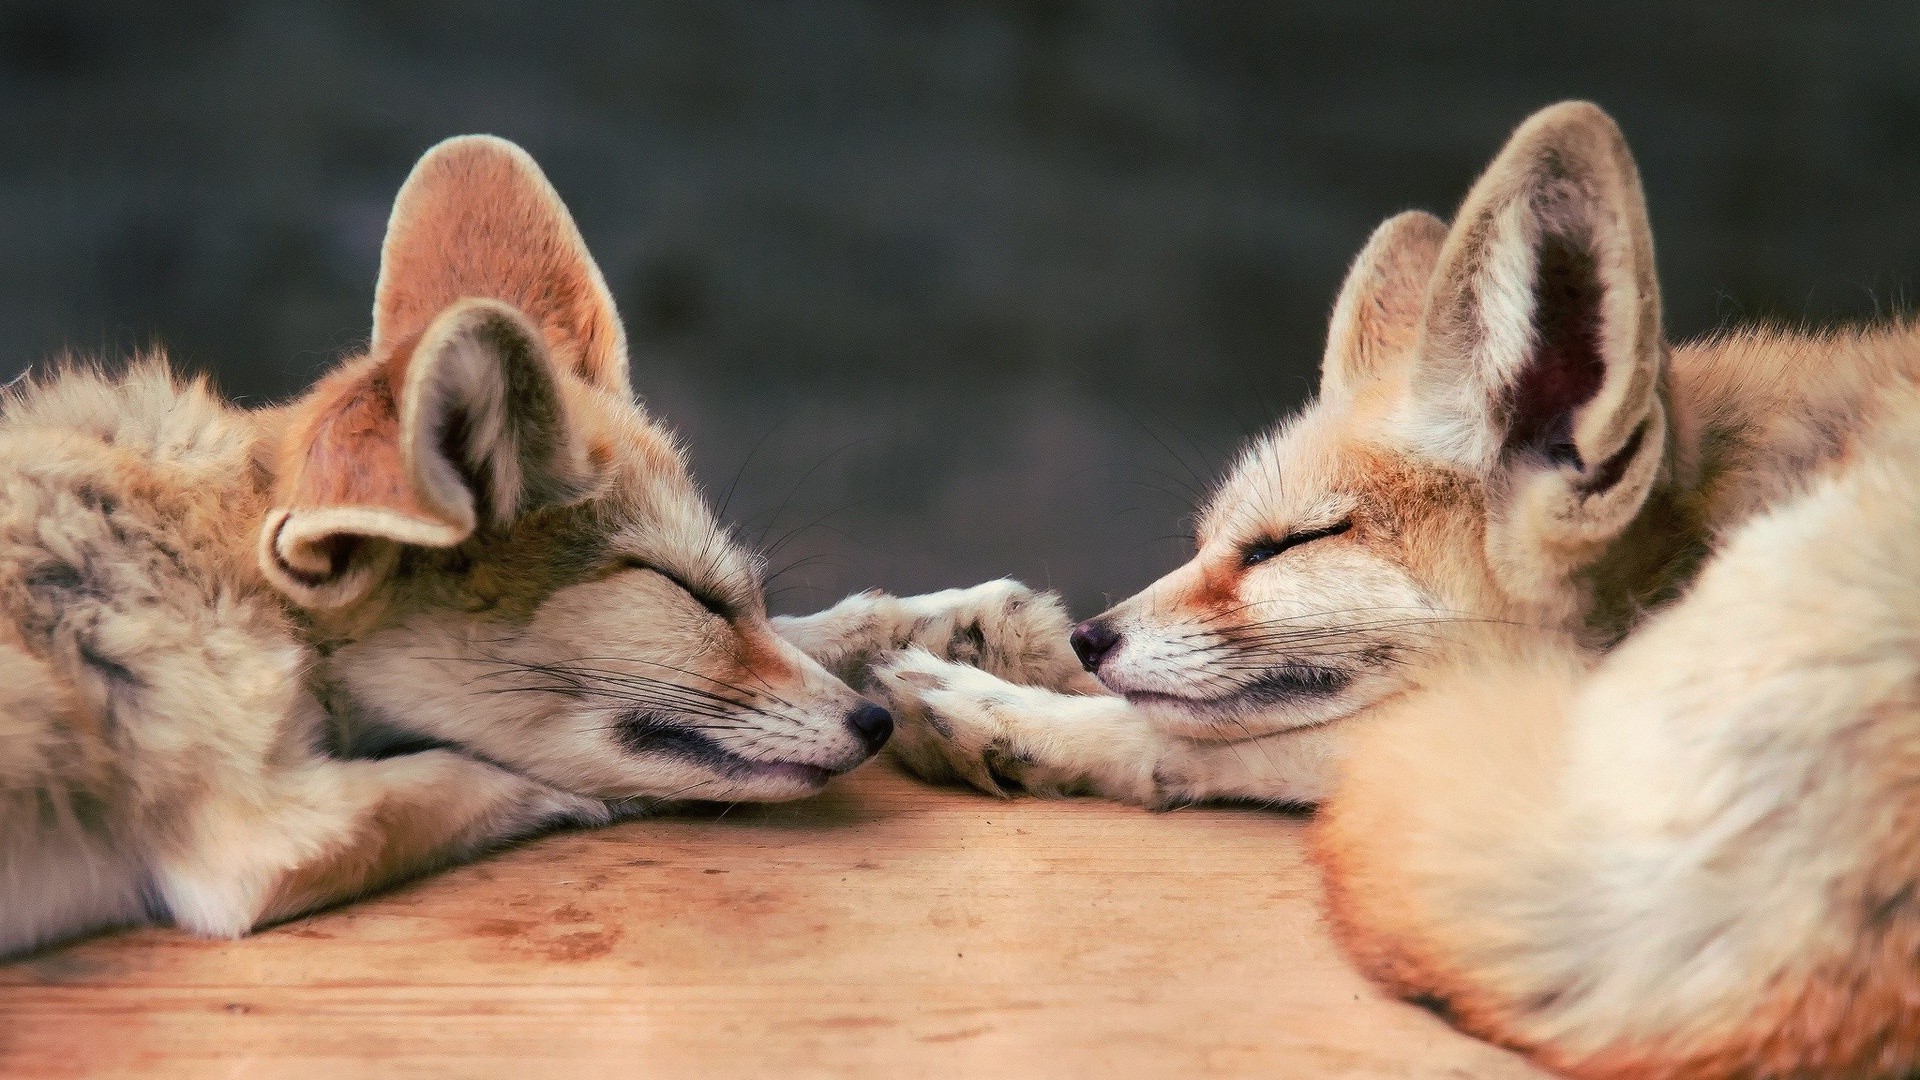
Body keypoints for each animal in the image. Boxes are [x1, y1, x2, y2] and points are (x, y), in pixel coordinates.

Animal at [0, 132, 1092, 959]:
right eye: (683, 594)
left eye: (728, 588)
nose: (870, 724)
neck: (214, 563)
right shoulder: (258, 839)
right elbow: (515, 776)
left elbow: (810, 631)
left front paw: (961, 636)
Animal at [868, 101, 1920, 1076]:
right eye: (1209, 543)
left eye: (1286, 544)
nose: (1093, 636)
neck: (1710, 522)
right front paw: (988, 636)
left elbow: (1199, 733)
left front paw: (1005, 705)